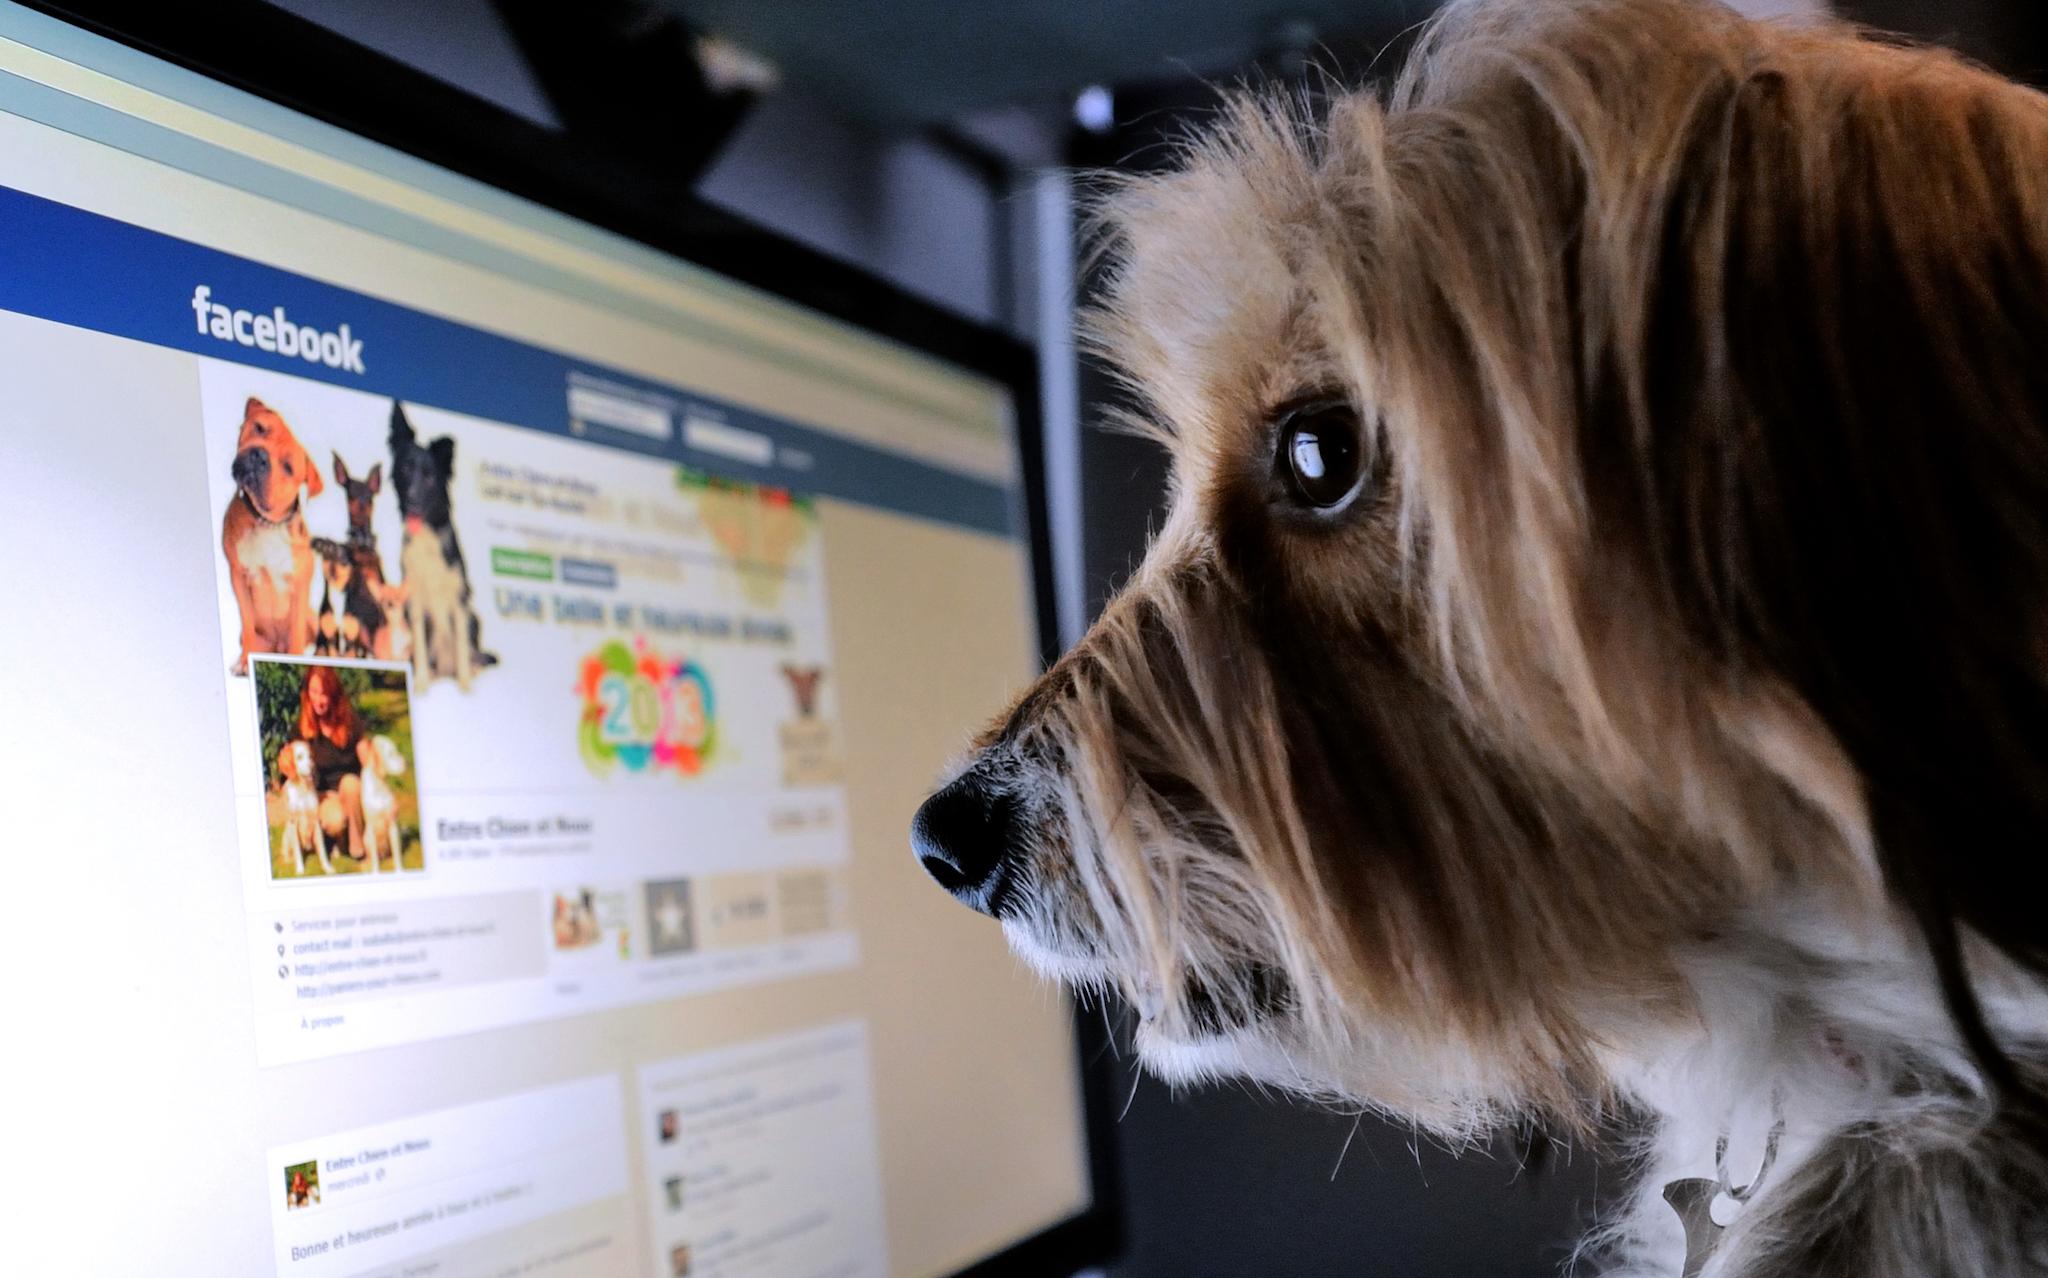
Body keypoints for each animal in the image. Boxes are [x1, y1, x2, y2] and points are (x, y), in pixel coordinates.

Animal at [221, 397, 319, 679]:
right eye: (259, 428)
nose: (260, 456)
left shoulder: (300, 588)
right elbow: (247, 620)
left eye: (288, 467)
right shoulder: (238, 577)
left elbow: (297, 633)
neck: (266, 524)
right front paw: (245, 662)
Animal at [274, 737, 329, 876]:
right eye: (299, 757)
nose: (312, 767)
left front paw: (328, 868)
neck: (302, 789)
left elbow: (323, 851)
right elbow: (297, 852)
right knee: (287, 853)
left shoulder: (316, 821)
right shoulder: (294, 823)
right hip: (287, 835)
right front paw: (300, 870)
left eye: (310, 756)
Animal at [356, 733, 403, 872]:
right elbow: (375, 860)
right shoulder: (371, 827)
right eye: (391, 753)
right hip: (366, 837)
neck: (379, 785)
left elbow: (397, 855)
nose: (407, 763)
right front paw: (375, 871)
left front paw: (400, 869)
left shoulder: (393, 824)